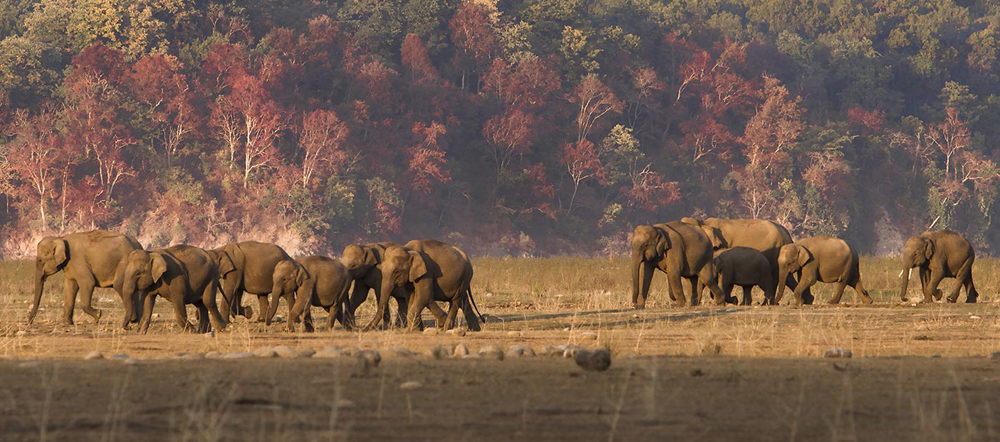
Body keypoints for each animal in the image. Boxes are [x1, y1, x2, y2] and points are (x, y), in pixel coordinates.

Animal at [676, 217, 808, 304]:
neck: (703, 222)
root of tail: (787, 233)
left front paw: (732, 300)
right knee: (787, 277)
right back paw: (806, 300)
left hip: (775, 252)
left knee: (775, 277)